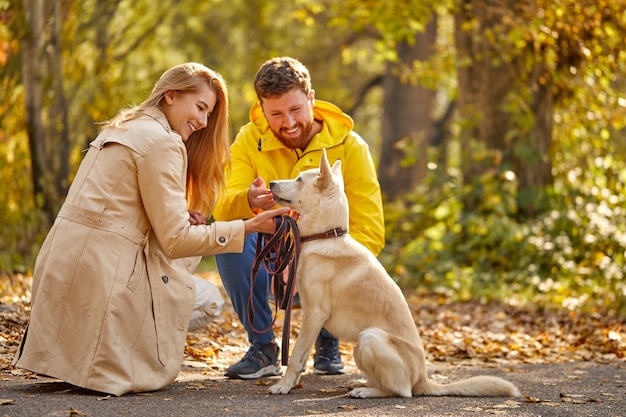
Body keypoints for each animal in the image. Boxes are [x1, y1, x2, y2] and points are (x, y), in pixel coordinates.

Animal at [266, 149, 520, 396]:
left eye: (299, 179)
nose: (270, 182)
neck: (327, 235)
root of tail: (423, 380)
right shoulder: (312, 316)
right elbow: (302, 356)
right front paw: (292, 384)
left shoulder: (314, 314)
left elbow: (296, 355)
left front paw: (283, 386)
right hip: (359, 346)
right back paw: (361, 383)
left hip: (369, 337)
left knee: (401, 391)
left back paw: (366, 391)